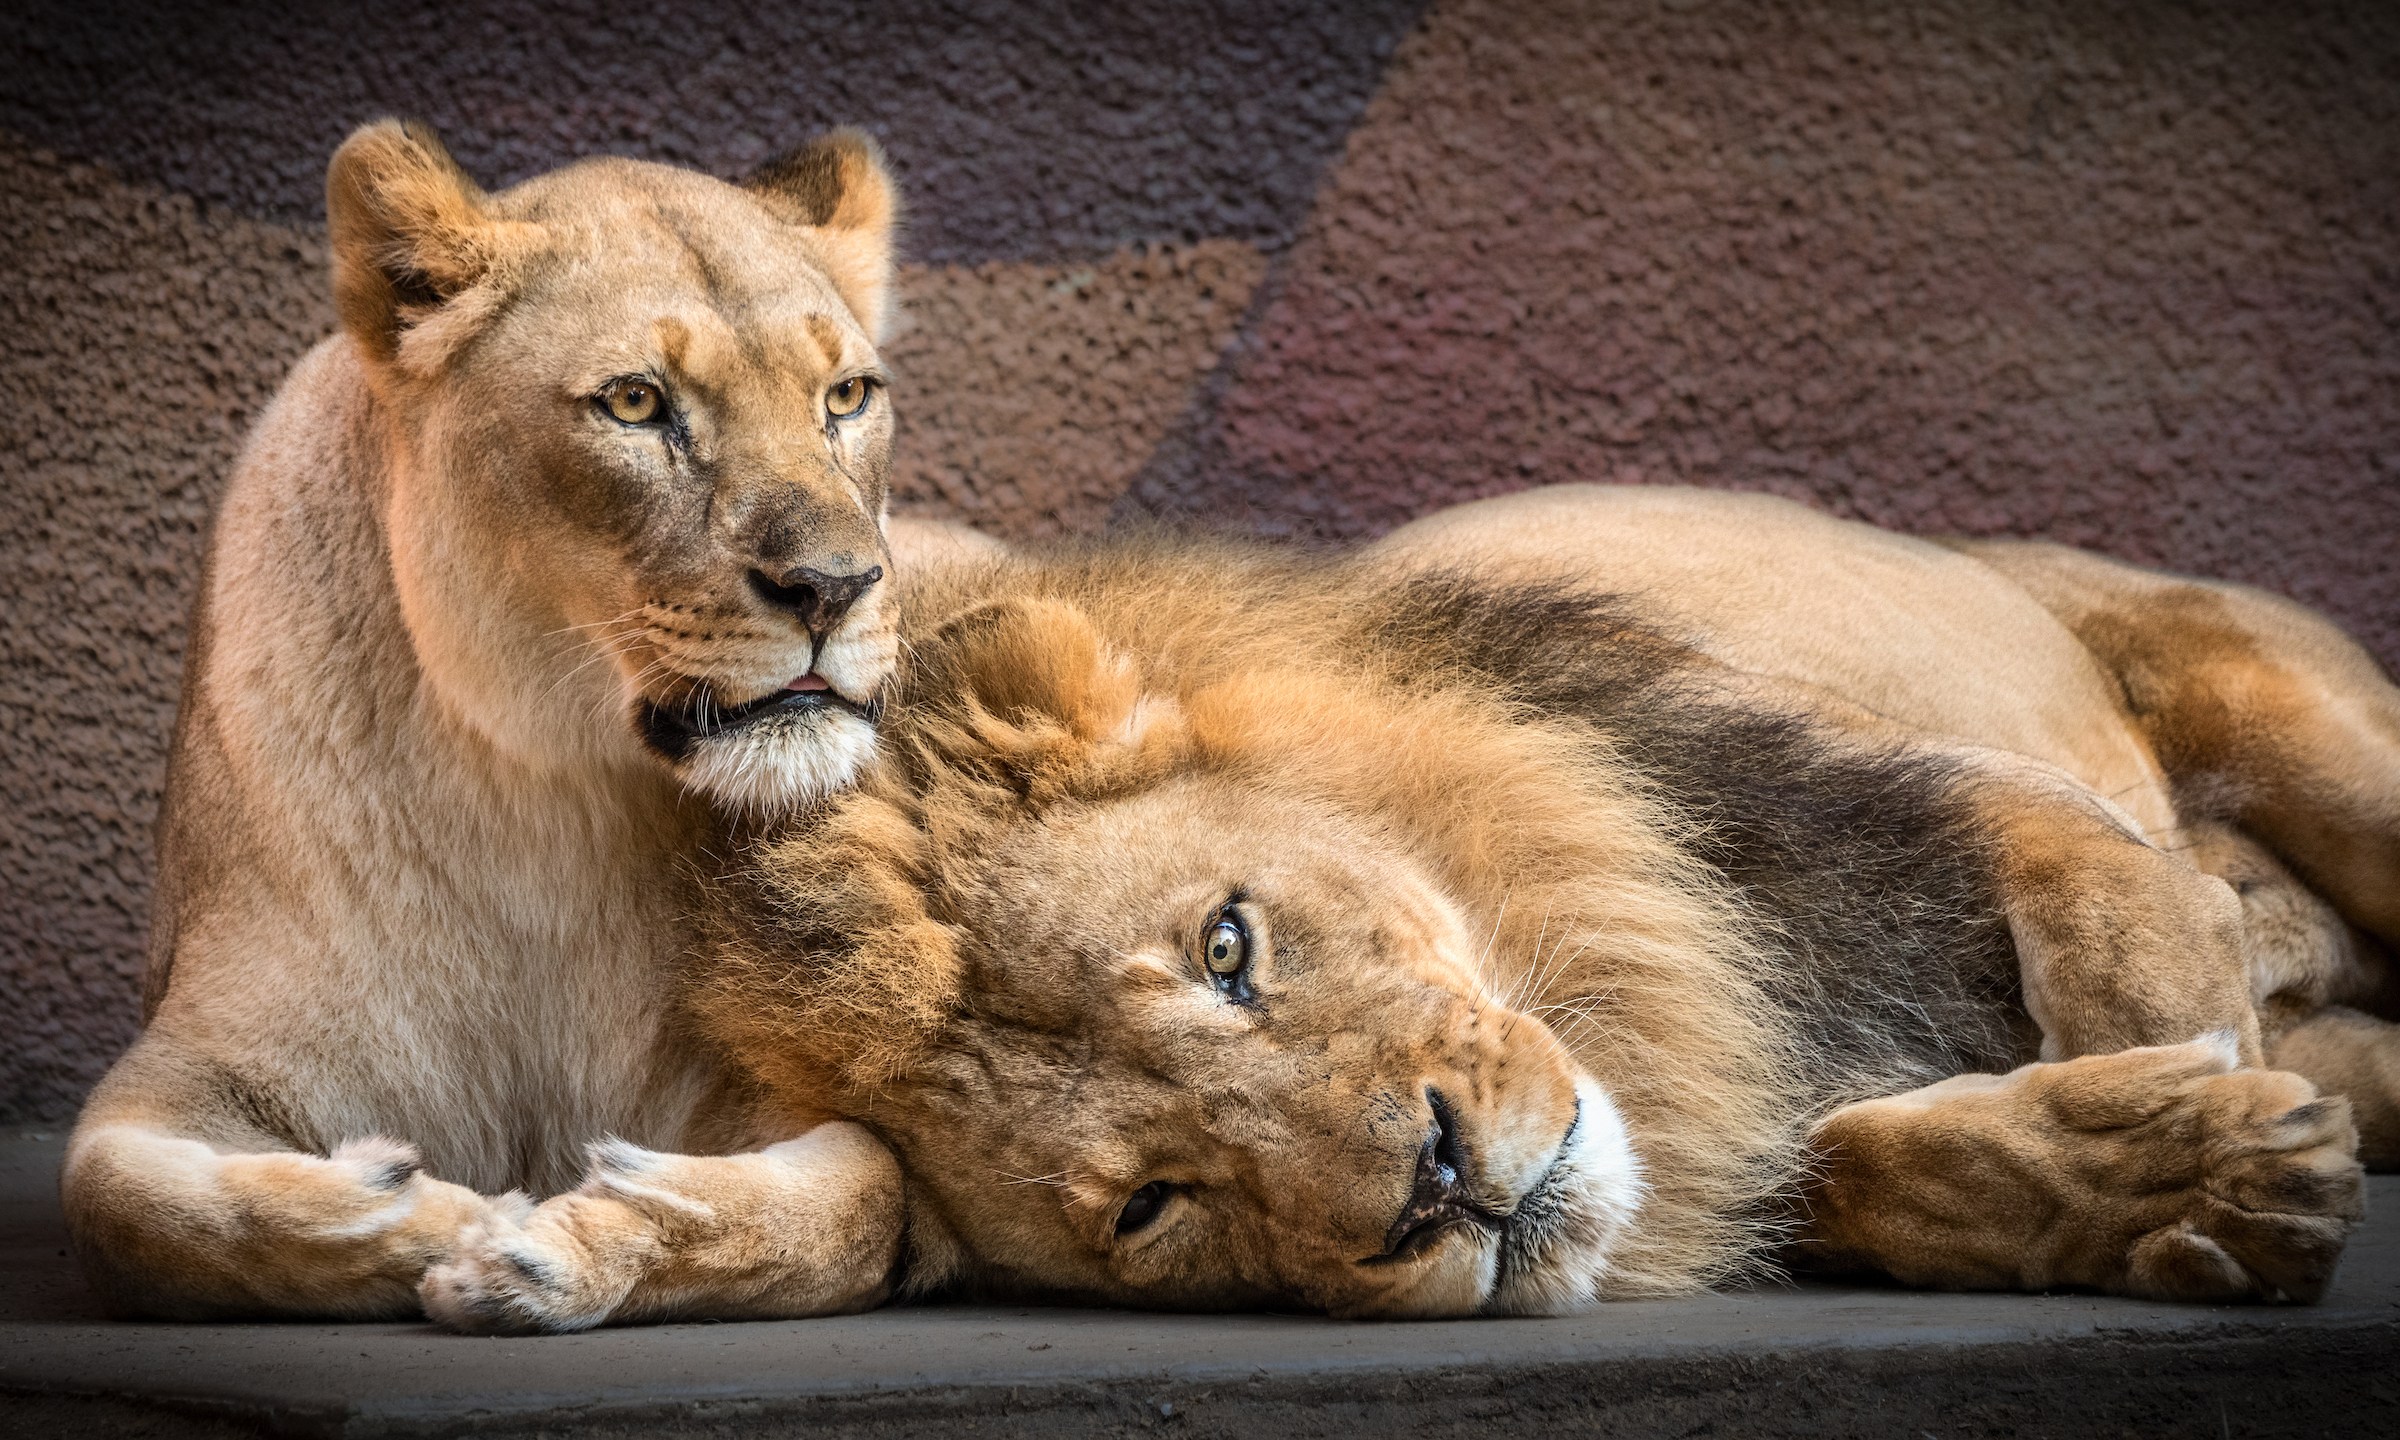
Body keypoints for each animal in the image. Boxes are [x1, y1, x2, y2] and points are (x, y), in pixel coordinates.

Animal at [65, 118, 964, 1324]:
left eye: (848, 396)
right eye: (635, 403)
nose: (834, 585)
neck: (547, 794)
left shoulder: (790, 1089)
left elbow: (860, 1199)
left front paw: (560, 1243)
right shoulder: (190, 1063)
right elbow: (128, 1203)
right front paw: (432, 1215)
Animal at [412, 484, 2380, 1324]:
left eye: (1228, 947)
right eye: (1154, 1206)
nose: (1439, 1184)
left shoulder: (1928, 830)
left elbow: (2131, 967)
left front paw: (2178, 1132)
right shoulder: (1725, 1088)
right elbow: (1856, 1159)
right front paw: (2169, 1182)